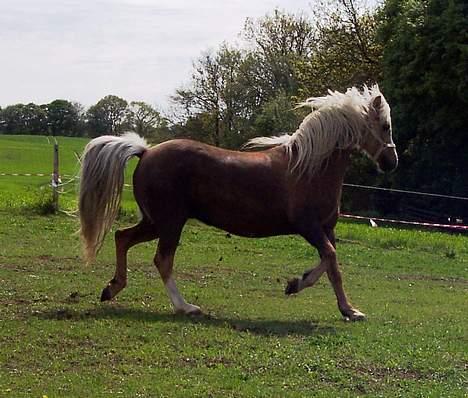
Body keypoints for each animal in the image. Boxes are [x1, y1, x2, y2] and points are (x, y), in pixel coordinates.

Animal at [78, 84, 396, 320]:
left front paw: (343, 307)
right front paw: (301, 287)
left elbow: (331, 266)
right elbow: (330, 259)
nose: (391, 162)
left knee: (122, 237)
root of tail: (146, 151)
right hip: (170, 222)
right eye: (385, 125)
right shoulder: (308, 226)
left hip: (155, 222)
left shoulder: (326, 228)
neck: (311, 167)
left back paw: (112, 288)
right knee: (162, 259)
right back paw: (185, 307)